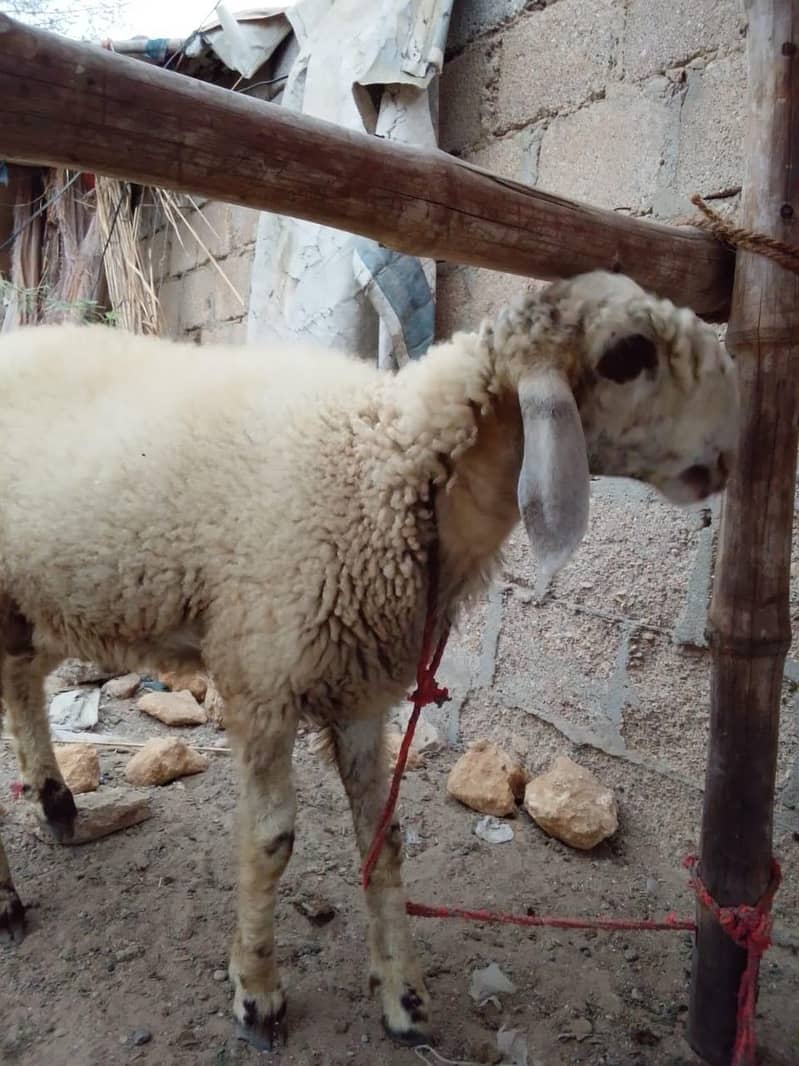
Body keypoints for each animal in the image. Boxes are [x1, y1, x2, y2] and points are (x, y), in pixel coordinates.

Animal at [0, 270, 738, 1048]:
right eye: (629, 355)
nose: (733, 444)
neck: (390, 464)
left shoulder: (360, 690)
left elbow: (383, 839)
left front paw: (403, 995)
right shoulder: (262, 673)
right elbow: (269, 840)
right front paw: (256, 991)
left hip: (38, 601)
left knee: (20, 679)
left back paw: (55, 803)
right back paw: (9, 897)